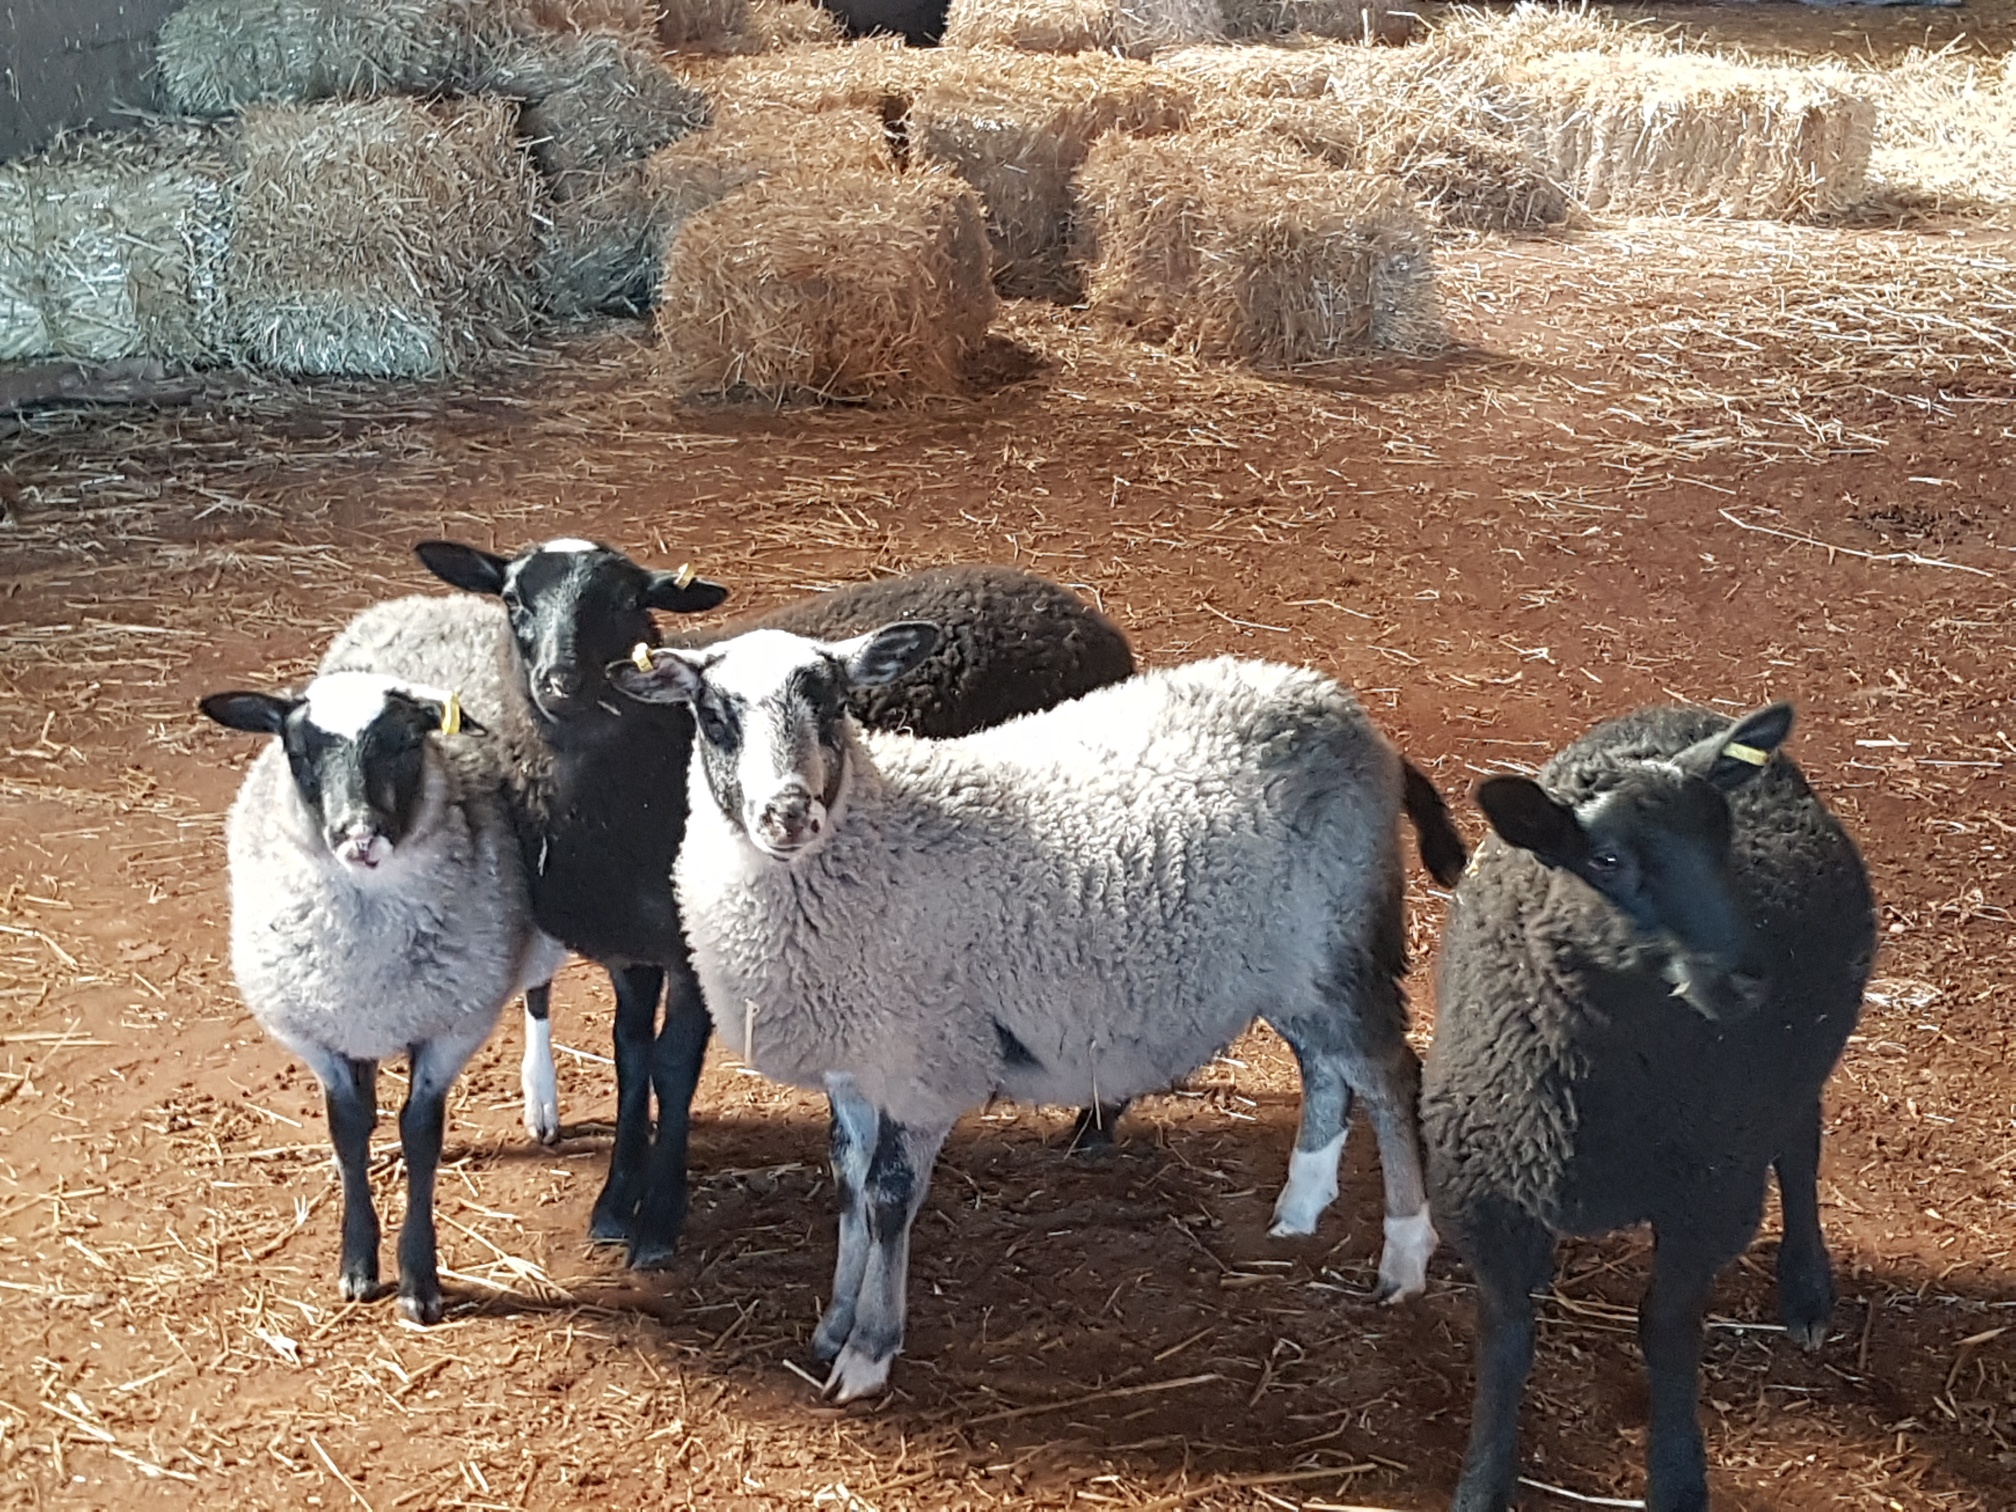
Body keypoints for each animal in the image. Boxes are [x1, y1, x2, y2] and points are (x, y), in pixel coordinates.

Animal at [200, 671, 568, 1324]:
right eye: (299, 752)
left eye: (405, 742)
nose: (358, 836)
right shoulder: (317, 1032)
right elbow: (348, 1128)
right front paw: (357, 1263)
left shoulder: (451, 1025)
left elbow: (420, 1133)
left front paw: (419, 1280)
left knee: (538, 995)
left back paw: (540, 1099)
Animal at [412, 539, 1139, 1266]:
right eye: (513, 601)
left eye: (625, 601)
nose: (560, 682)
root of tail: (1090, 621)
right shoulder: (631, 950)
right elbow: (629, 1057)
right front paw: (616, 1200)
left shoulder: (692, 950)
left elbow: (672, 1066)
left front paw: (659, 1218)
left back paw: (1094, 1124)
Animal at [610, 622, 1470, 1401]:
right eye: (714, 715)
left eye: (833, 702)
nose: (789, 815)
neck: (877, 835)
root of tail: (1350, 716)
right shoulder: (857, 1063)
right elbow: (849, 1183)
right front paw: (834, 1323)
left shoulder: (923, 1059)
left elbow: (888, 1199)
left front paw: (868, 1352)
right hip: (1285, 963)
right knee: (1325, 1068)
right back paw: (1300, 1206)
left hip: (1338, 940)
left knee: (1388, 1074)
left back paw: (1403, 1256)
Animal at [1420, 702, 1876, 1512]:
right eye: (1605, 862)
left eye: (1723, 840)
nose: (1746, 978)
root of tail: (1685, 713)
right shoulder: (1483, 1194)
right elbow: (1505, 1338)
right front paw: (1483, 1482)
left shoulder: (1709, 1195)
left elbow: (1667, 1330)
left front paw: (1676, 1476)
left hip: (1791, 1066)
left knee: (1799, 1143)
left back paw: (1806, 1287)